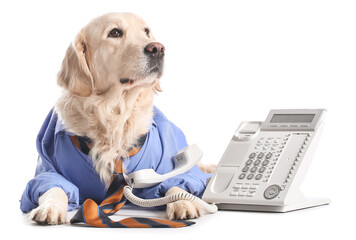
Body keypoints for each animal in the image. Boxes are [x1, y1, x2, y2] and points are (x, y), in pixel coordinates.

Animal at [21, 12, 217, 224]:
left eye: (146, 32)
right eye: (115, 32)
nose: (157, 48)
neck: (114, 112)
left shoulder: (167, 166)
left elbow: (176, 184)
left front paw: (183, 203)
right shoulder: (49, 167)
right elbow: (53, 187)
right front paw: (50, 208)